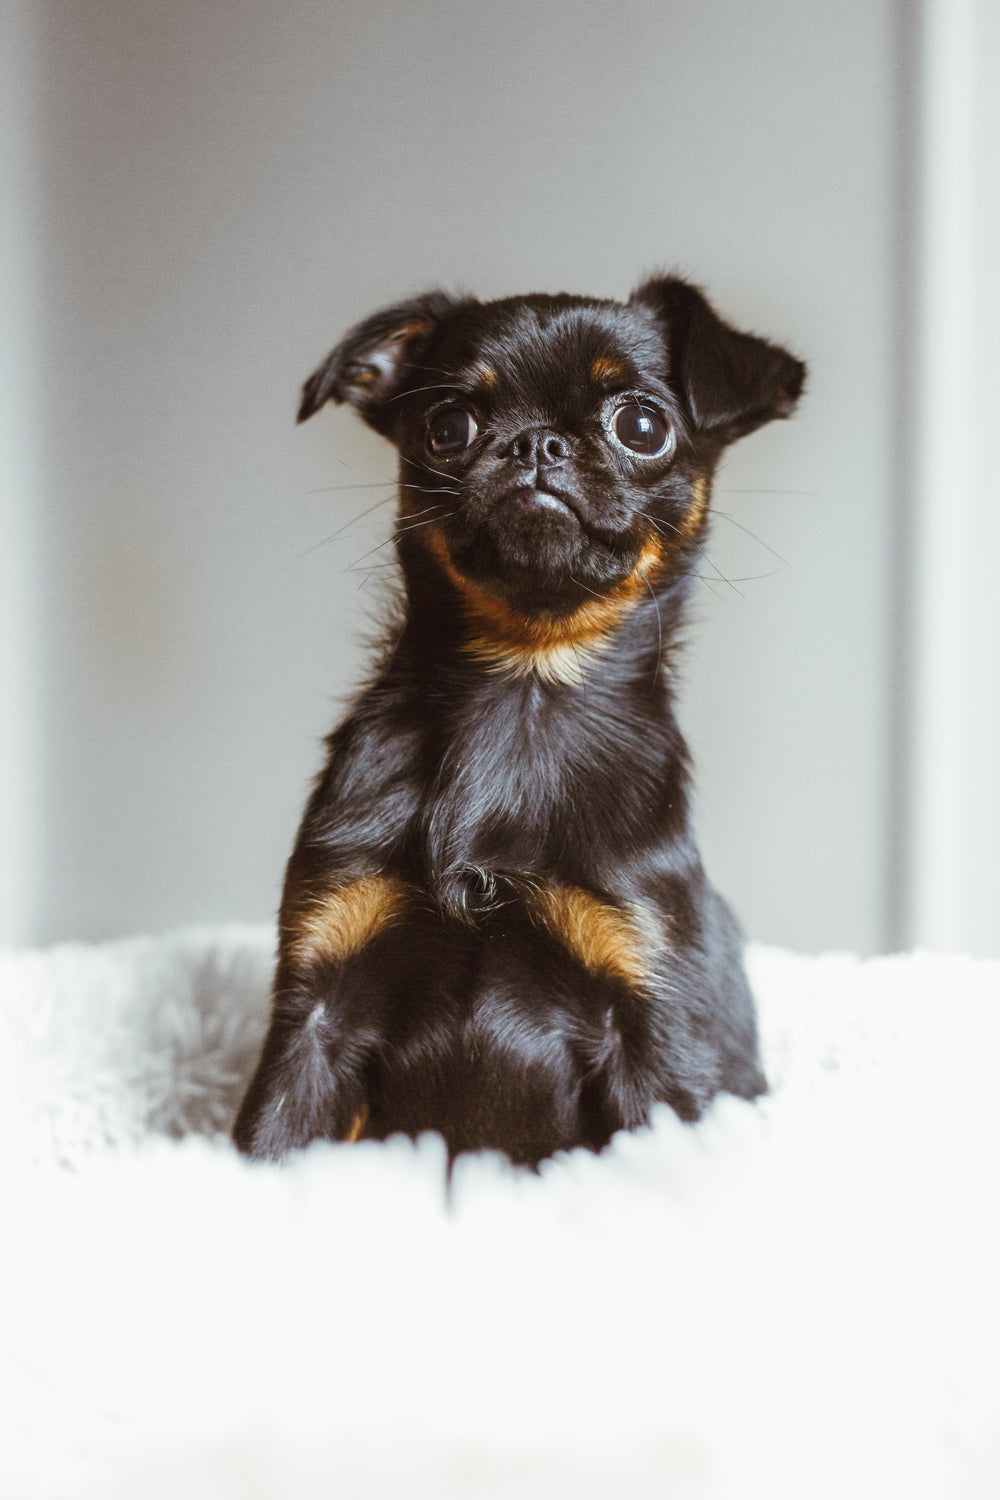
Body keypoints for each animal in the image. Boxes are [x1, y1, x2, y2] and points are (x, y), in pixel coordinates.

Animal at [232, 276, 803, 1164]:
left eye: (642, 426)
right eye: (448, 426)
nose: (538, 444)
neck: (524, 685)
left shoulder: (654, 1033)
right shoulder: (314, 1021)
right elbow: (266, 1147)